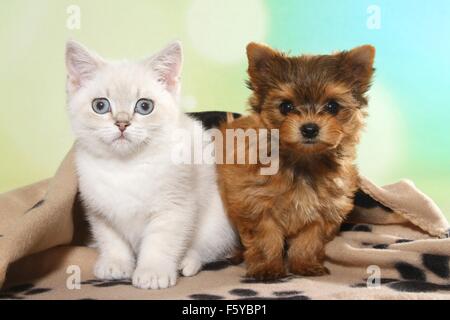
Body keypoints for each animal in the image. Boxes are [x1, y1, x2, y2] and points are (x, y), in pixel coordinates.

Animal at [66, 40, 237, 290]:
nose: (122, 123)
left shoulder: (173, 207)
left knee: (209, 249)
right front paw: (115, 264)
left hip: (218, 222)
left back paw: (187, 262)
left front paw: (153, 273)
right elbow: (111, 238)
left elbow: (160, 241)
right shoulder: (99, 209)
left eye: (144, 106)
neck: (125, 167)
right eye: (100, 105)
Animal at [218, 43, 376, 280]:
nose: (309, 128)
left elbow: (309, 240)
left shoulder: (324, 210)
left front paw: (304, 264)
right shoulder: (257, 204)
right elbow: (266, 238)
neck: (302, 161)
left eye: (332, 106)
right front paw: (267, 268)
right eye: (286, 107)